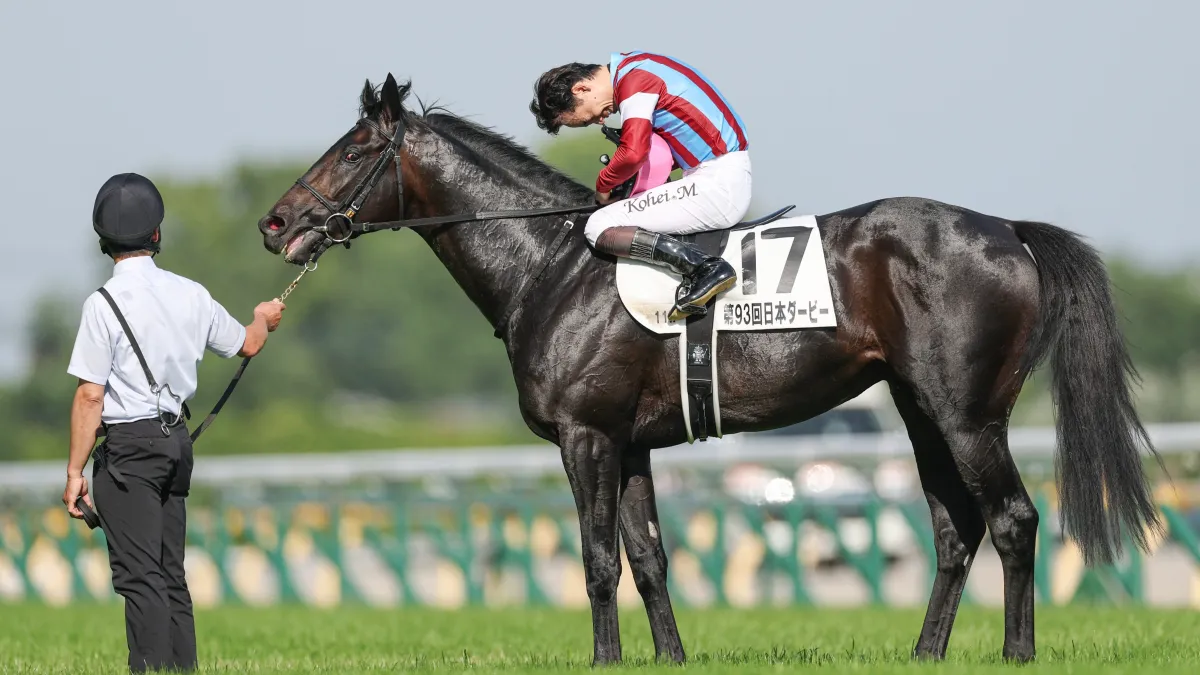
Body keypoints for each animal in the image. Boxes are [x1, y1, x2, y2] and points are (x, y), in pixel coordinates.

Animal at [256, 73, 1163, 664]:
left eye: (354, 149)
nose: (276, 223)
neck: (551, 265)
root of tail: (1006, 229)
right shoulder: (629, 444)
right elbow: (650, 558)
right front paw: (669, 656)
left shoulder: (586, 436)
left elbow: (597, 561)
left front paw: (606, 659)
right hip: (919, 409)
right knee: (956, 529)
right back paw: (925, 651)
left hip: (968, 412)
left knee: (1012, 519)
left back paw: (1015, 652)